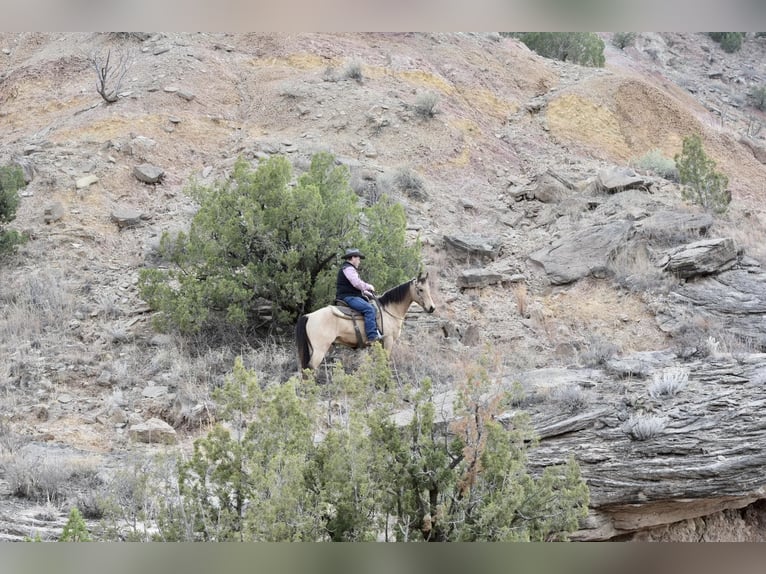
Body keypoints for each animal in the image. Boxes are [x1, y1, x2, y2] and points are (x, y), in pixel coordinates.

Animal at [296, 272, 436, 372]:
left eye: (429, 288)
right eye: (420, 289)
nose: (432, 308)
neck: (389, 310)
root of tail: (308, 316)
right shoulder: (388, 340)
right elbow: (385, 362)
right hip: (319, 350)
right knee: (309, 370)